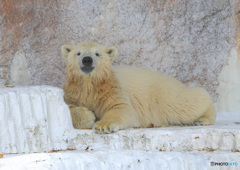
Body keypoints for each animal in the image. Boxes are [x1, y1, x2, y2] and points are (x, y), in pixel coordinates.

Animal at [61, 41, 216, 133]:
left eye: (97, 53)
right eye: (78, 53)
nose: (87, 60)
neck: (89, 85)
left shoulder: (111, 89)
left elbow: (121, 109)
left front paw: (103, 125)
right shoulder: (73, 92)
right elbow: (68, 107)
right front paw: (88, 116)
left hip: (165, 94)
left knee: (188, 103)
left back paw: (202, 119)